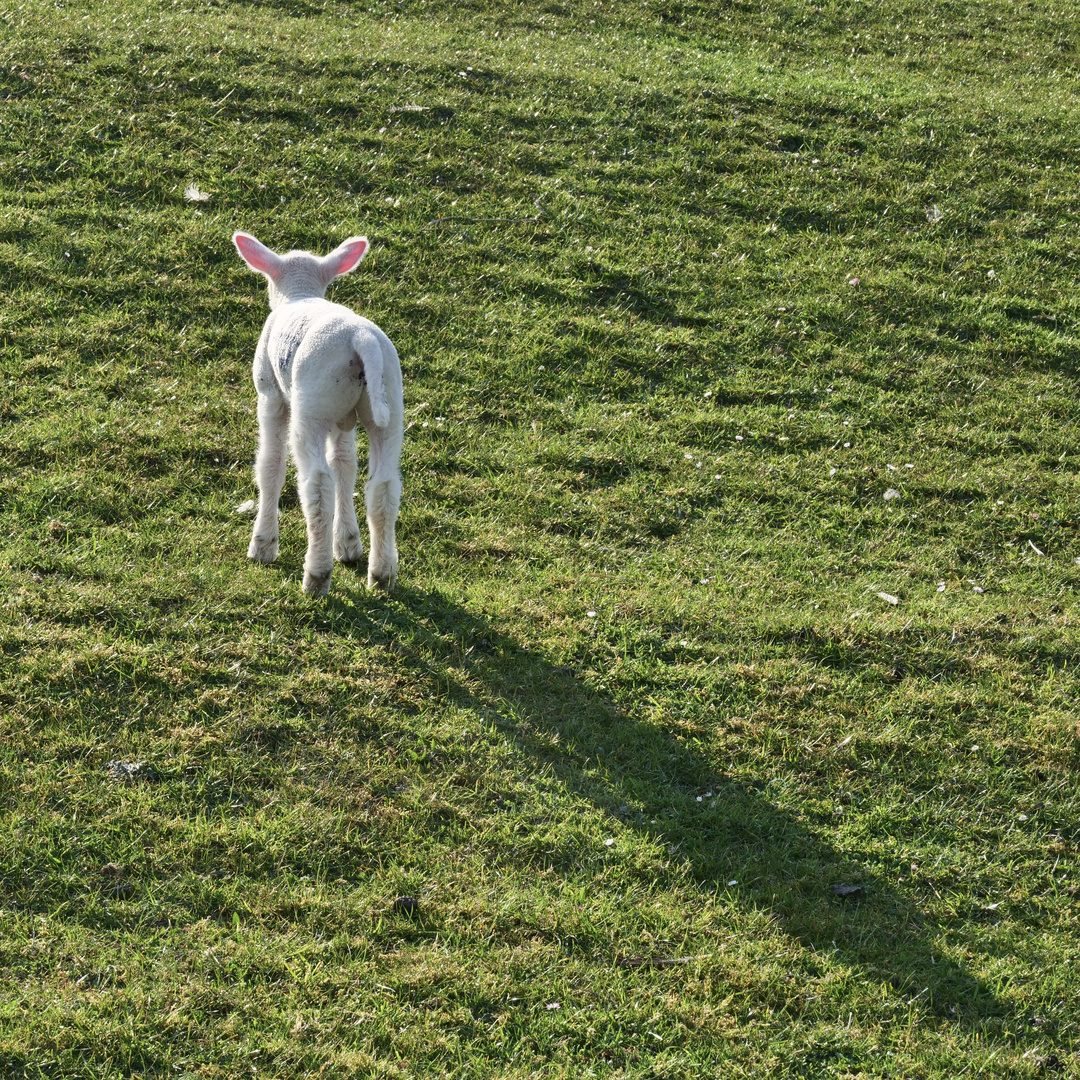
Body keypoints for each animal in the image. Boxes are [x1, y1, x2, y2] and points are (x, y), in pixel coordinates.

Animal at [234, 231, 403, 596]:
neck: (300, 294)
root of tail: (361, 338)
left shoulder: (270, 396)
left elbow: (271, 465)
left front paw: (263, 544)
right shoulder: (343, 420)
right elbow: (345, 464)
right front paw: (348, 542)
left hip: (310, 406)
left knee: (317, 482)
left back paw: (316, 575)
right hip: (388, 403)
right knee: (383, 487)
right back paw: (381, 574)